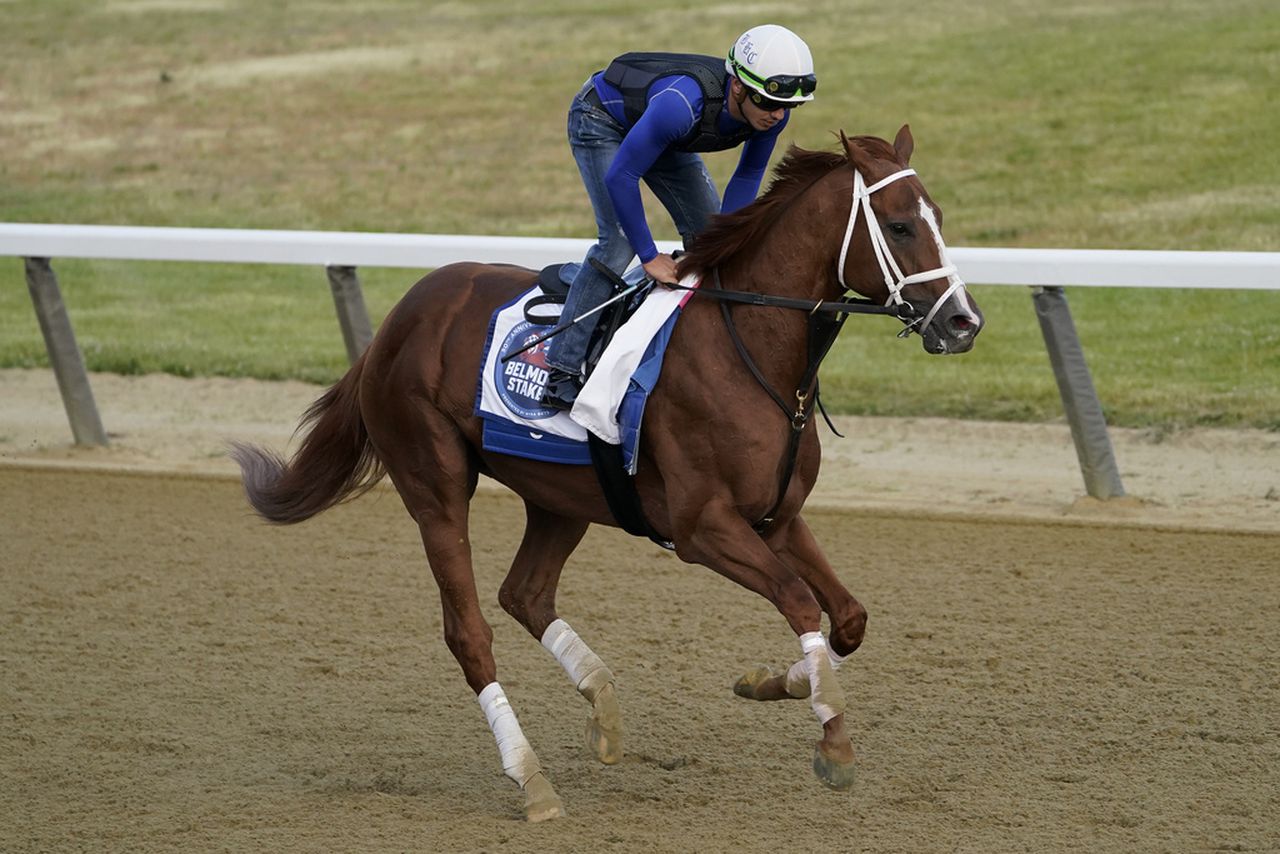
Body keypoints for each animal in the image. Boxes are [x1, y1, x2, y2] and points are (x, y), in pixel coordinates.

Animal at [235, 125, 983, 819]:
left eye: (941, 216)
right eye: (900, 225)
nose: (964, 322)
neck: (753, 351)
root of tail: (399, 317)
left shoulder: (776, 516)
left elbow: (848, 619)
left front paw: (778, 682)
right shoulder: (702, 528)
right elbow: (801, 602)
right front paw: (833, 742)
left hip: (561, 495)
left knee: (524, 594)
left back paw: (603, 707)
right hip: (435, 485)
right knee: (470, 633)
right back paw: (532, 781)